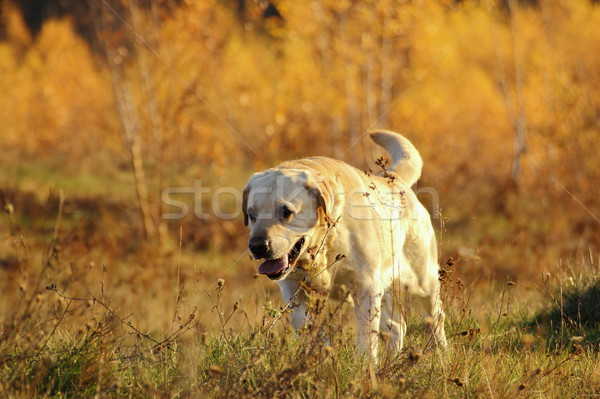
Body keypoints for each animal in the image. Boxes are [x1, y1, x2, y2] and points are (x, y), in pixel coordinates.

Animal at [243, 131, 446, 360]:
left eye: (286, 211)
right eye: (251, 214)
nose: (258, 246)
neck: (326, 245)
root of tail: (393, 179)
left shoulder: (366, 285)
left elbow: (366, 336)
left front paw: (365, 363)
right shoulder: (292, 287)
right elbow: (303, 323)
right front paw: (320, 351)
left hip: (422, 281)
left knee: (436, 317)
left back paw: (442, 354)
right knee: (396, 324)